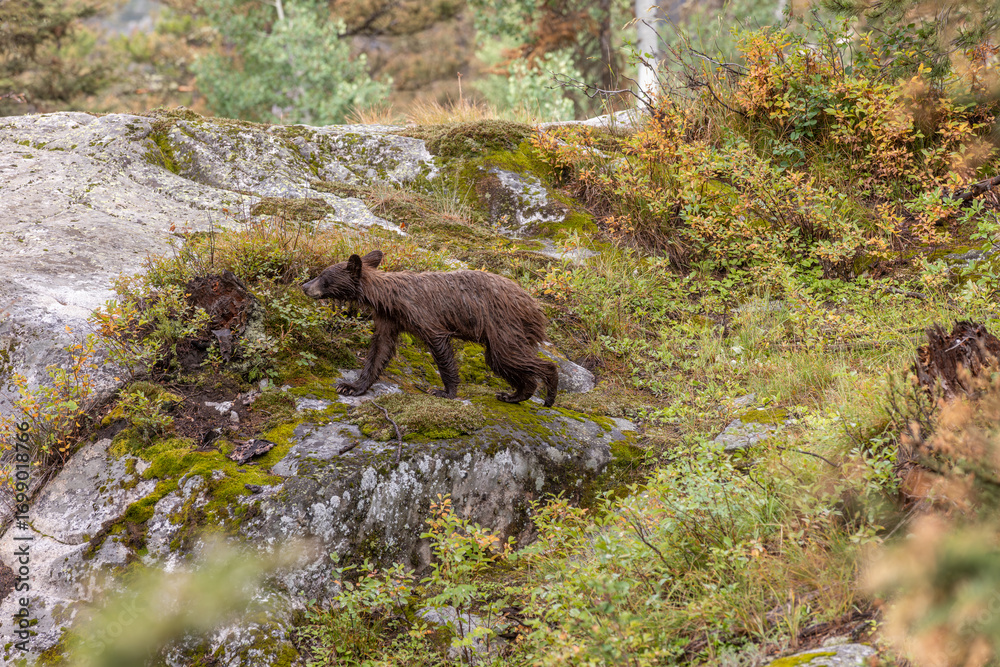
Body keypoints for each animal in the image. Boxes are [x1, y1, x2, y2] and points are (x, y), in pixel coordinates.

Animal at [302, 250, 559, 407]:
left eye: (323, 276)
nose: (304, 286)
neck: (389, 299)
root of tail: (535, 306)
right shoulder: (389, 319)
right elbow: (380, 349)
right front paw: (351, 386)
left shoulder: (422, 314)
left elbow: (439, 346)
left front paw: (445, 391)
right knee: (501, 361)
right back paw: (514, 394)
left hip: (502, 324)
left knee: (511, 356)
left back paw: (549, 390)